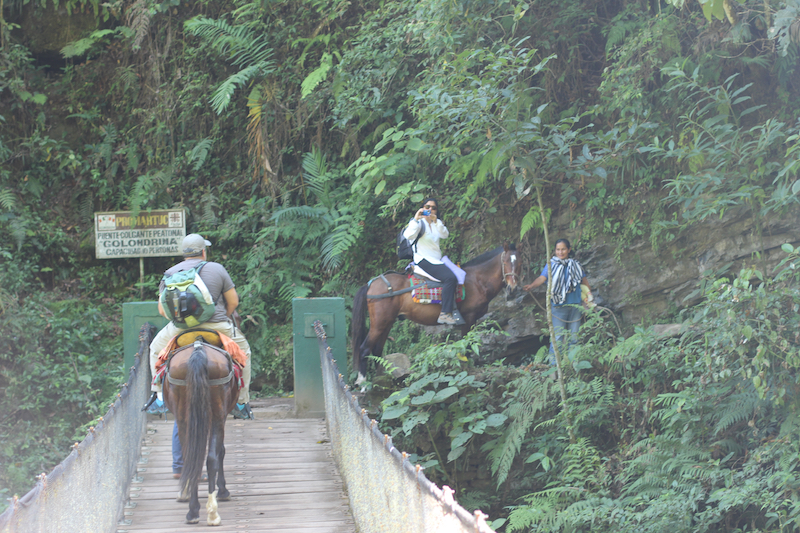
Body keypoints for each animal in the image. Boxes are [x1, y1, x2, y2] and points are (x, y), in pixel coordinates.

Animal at [162, 330, 238, 524]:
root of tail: (198, 350)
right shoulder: (221, 417)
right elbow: (220, 451)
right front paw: (223, 490)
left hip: (185, 415)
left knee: (192, 456)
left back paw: (193, 511)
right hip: (217, 414)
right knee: (210, 457)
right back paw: (212, 512)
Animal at [354, 241, 520, 382]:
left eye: (519, 262)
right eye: (505, 262)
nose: (513, 288)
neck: (477, 281)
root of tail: (371, 284)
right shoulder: (469, 317)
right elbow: (465, 345)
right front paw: (466, 366)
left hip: (387, 322)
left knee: (377, 350)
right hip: (379, 323)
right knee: (364, 349)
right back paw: (363, 382)